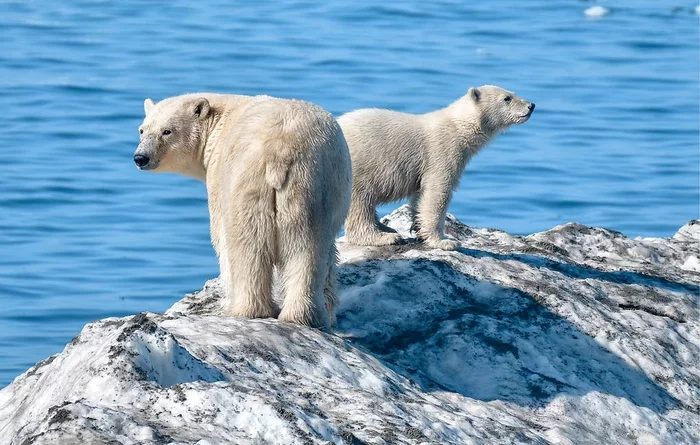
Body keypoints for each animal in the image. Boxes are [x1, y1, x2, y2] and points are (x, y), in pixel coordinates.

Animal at [133, 93, 350, 328]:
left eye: (167, 131)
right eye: (142, 130)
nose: (140, 157)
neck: (219, 121)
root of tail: (280, 151)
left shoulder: (219, 174)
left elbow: (222, 238)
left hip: (248, 181)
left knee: (249, 245)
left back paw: (248, 310)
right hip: (311, 186)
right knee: (306, 246)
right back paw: (302, 316)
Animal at [340, 84, 536, 250]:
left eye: (512, 93)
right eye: (507, 98)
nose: (531, 105)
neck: (458, 126)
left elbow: (420, 195)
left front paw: (418, 228)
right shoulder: (442, 152)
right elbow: (437, 193)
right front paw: (444, 241)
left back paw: (386, 228)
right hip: (357, 169)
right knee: (360, 203)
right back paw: (383, 236)